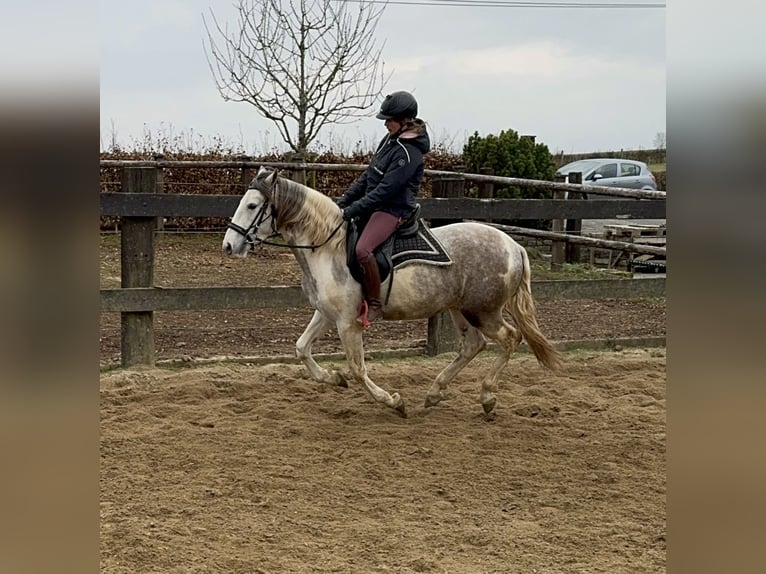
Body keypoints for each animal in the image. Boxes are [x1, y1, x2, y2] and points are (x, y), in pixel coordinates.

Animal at [219, 169, 560, 416]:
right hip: (459, 309)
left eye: (252, 205)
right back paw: (434, 394)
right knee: (473, 346)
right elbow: (302, 348)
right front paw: (334, 378)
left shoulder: (348, 323)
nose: (229, 245)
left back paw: (487, 396)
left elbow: (358, 369)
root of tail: (513, 245)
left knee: (509, 338)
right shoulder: (327, 314)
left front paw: (394, 402)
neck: (327, 247)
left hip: (483, 311)